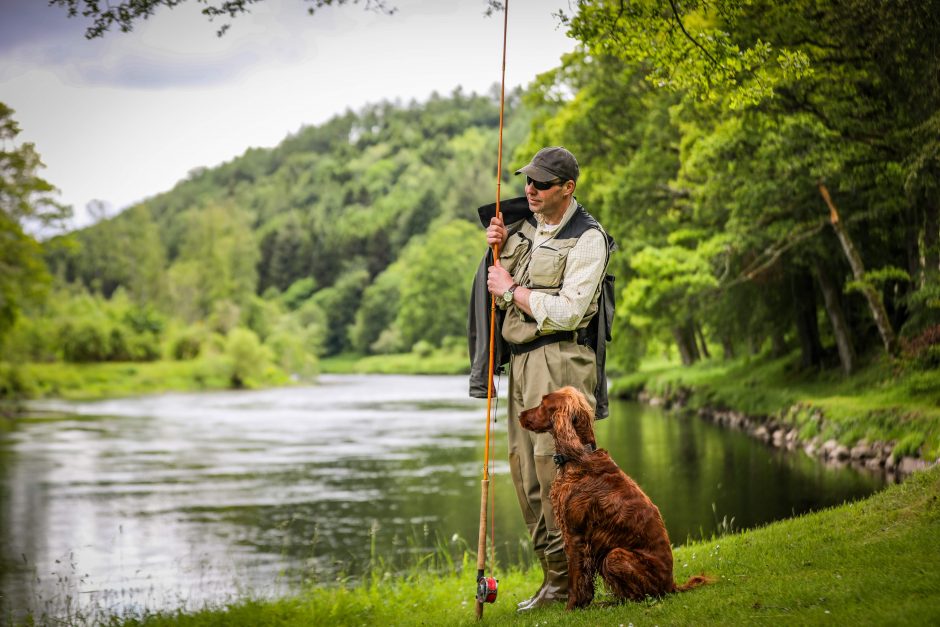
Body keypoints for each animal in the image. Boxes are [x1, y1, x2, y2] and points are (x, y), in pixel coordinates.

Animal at [516, 386, 708, 612]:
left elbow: (576, 578)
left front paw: (571, 608)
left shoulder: (574, 535)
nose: (520, 415)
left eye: (543, 403)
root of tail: (671, 585)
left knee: (640, 597)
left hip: (614, 556)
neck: (578, 458)